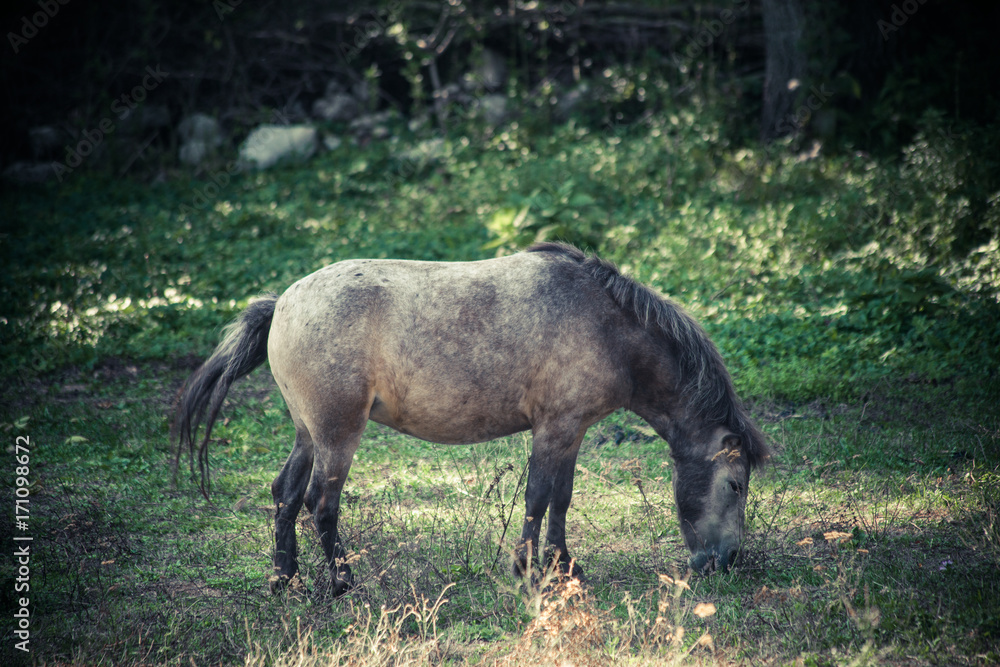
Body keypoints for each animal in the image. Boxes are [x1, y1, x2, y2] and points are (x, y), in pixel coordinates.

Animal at [174, 242, 768, 595]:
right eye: (735, 484)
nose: (727, 561)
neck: (607, 326)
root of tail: (282, 303)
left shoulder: (570, 432)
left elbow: (561, 498)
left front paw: (563, 567)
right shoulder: (554, 429)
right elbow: (538, 498)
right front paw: (528, 572)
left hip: (308, 434)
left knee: (285, 494)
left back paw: (284, 579)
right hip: (338, 434)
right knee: (321, 502)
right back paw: (343, 584)